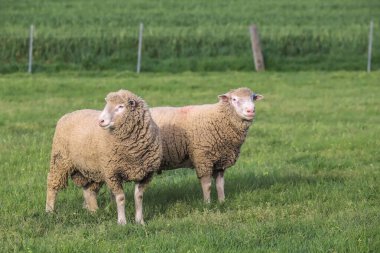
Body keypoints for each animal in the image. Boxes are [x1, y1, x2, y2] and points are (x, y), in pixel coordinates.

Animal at [45, 90, 162, 224]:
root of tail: (68, 114)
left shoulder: (145, 174)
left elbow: (139, 197)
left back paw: (94, 211)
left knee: (89, 190)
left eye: (120, 106)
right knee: (52, 184)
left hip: (93, 169)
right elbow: (120, 198)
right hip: (60, 160)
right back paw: (49, 210)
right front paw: (122, 222)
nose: (100, 121)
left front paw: (140, 221)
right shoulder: (113, 173)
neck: (133, 152)